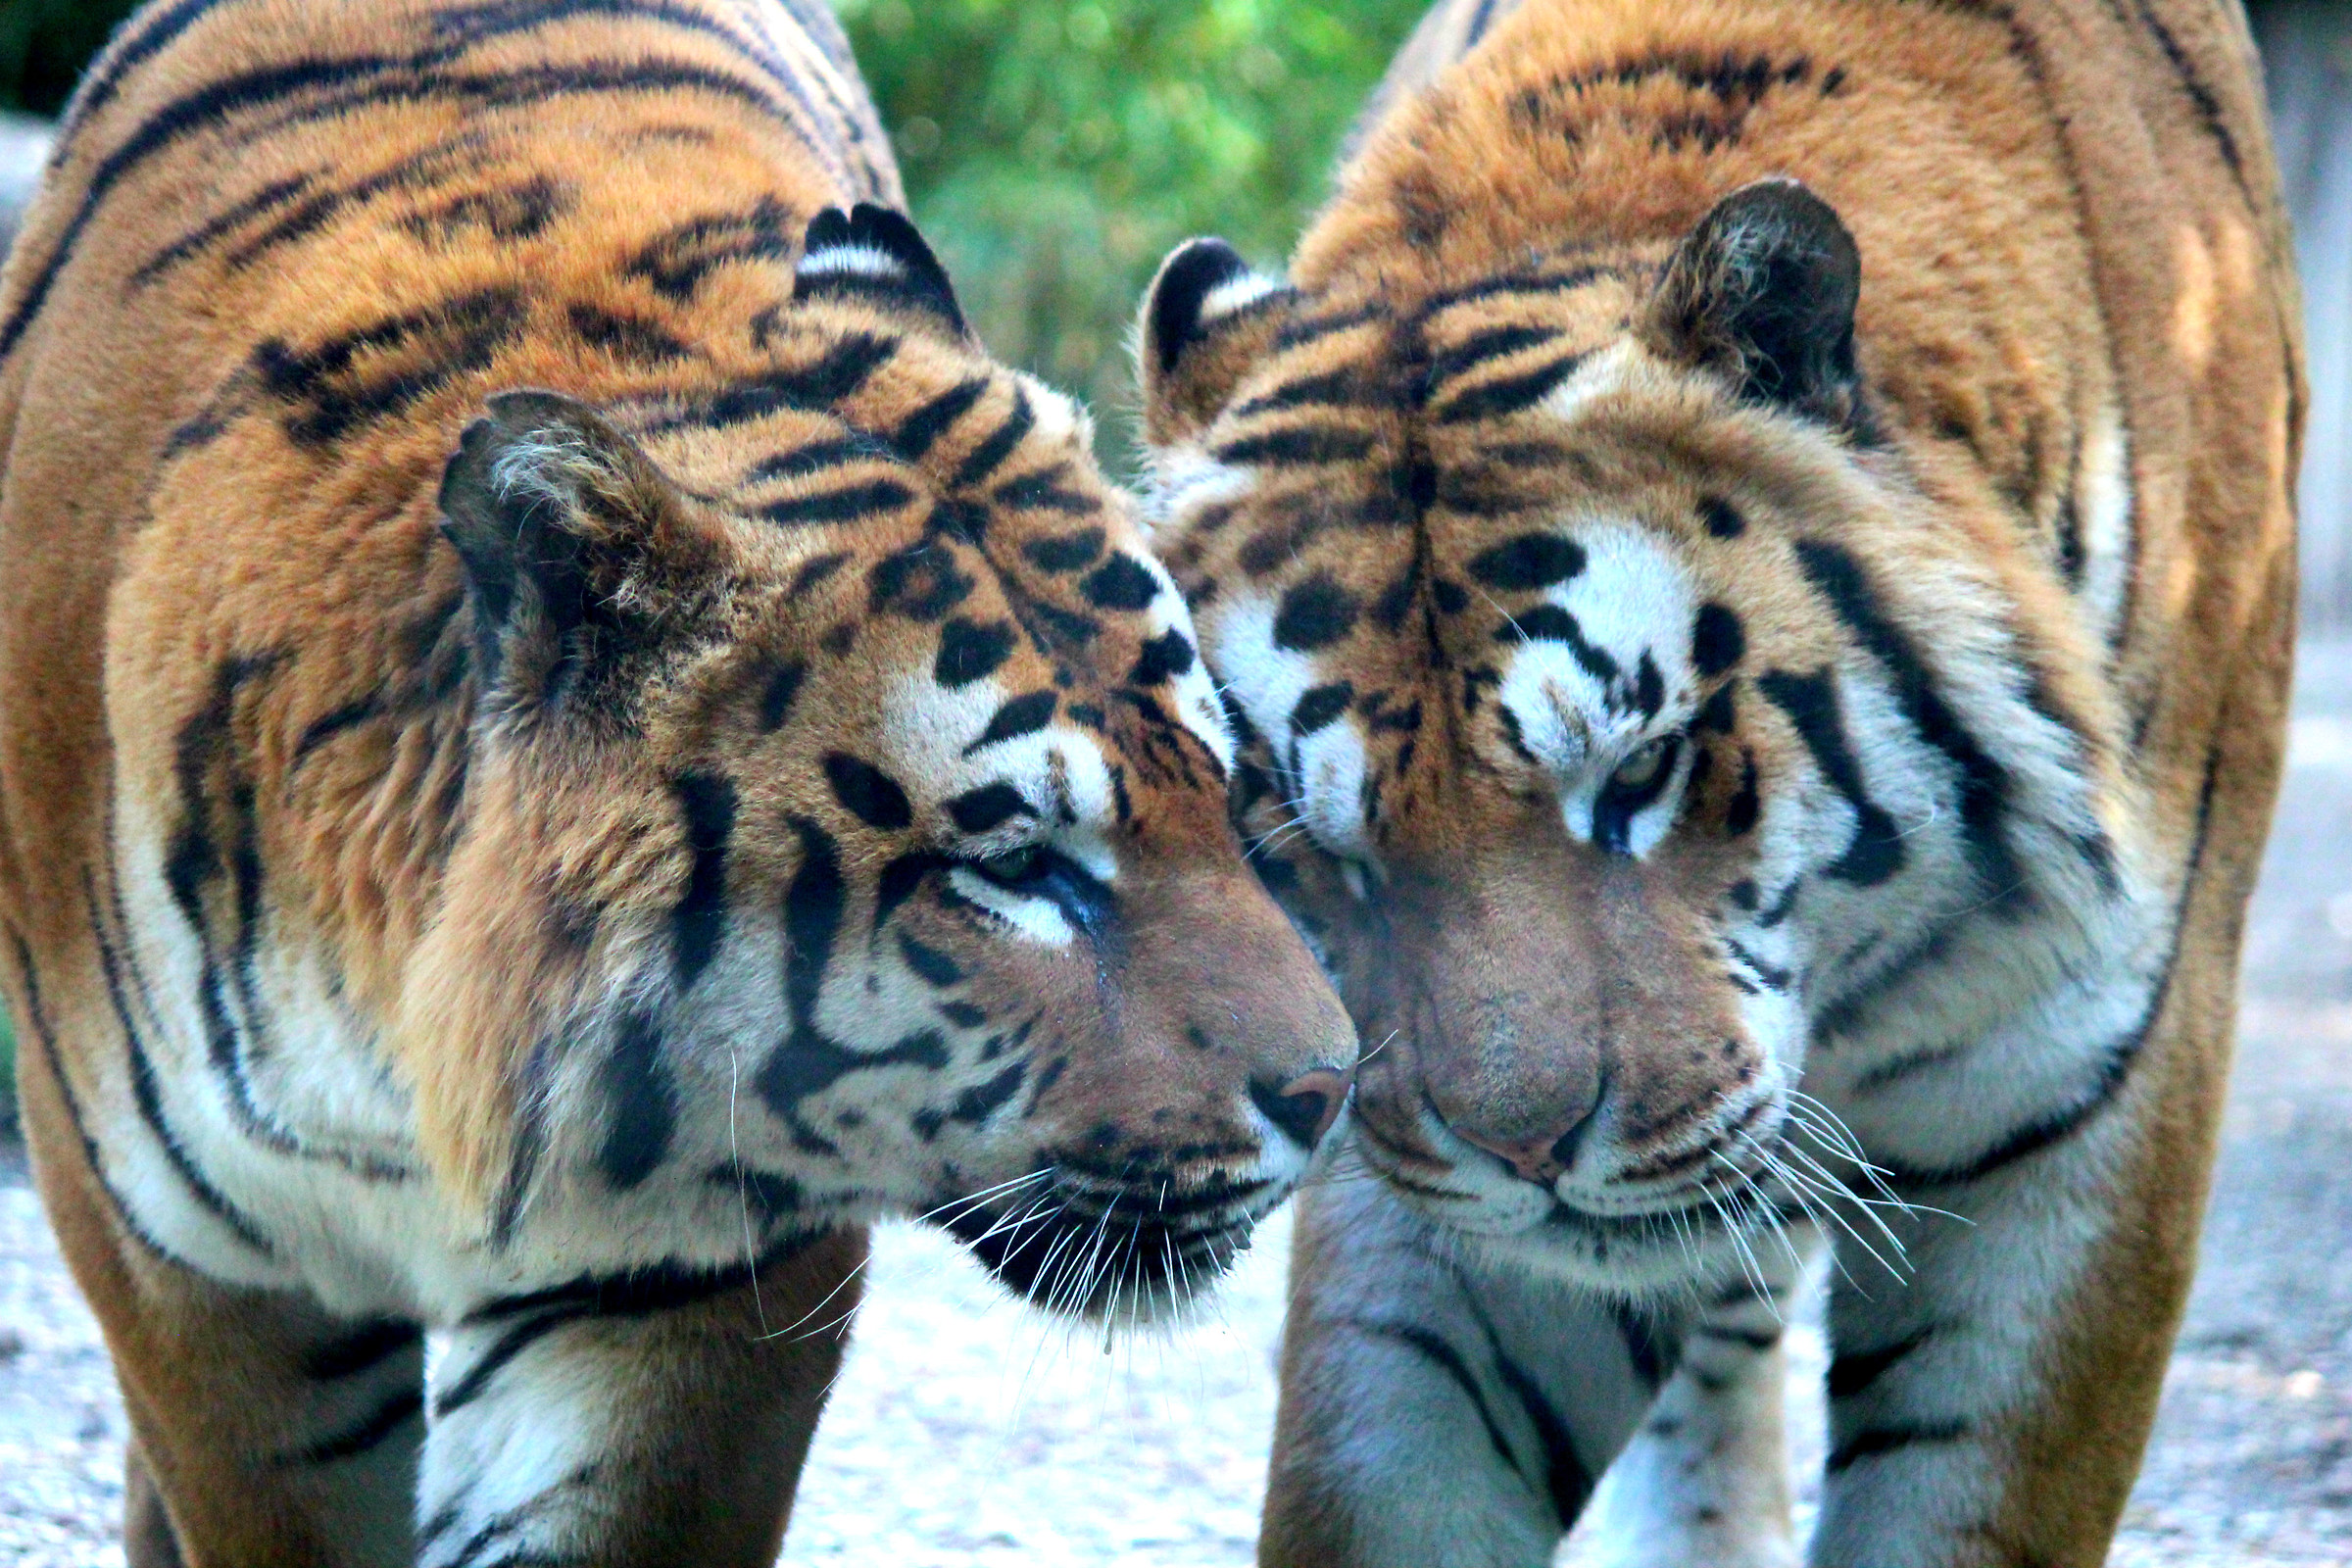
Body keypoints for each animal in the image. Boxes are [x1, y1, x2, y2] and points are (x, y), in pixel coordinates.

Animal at [0, 1, 1359, 1563]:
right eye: (1016, 867)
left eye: (1224, 785)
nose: (1333, 1088)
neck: (410, 1061)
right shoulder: (193, 1289)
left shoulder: (696, 1273)